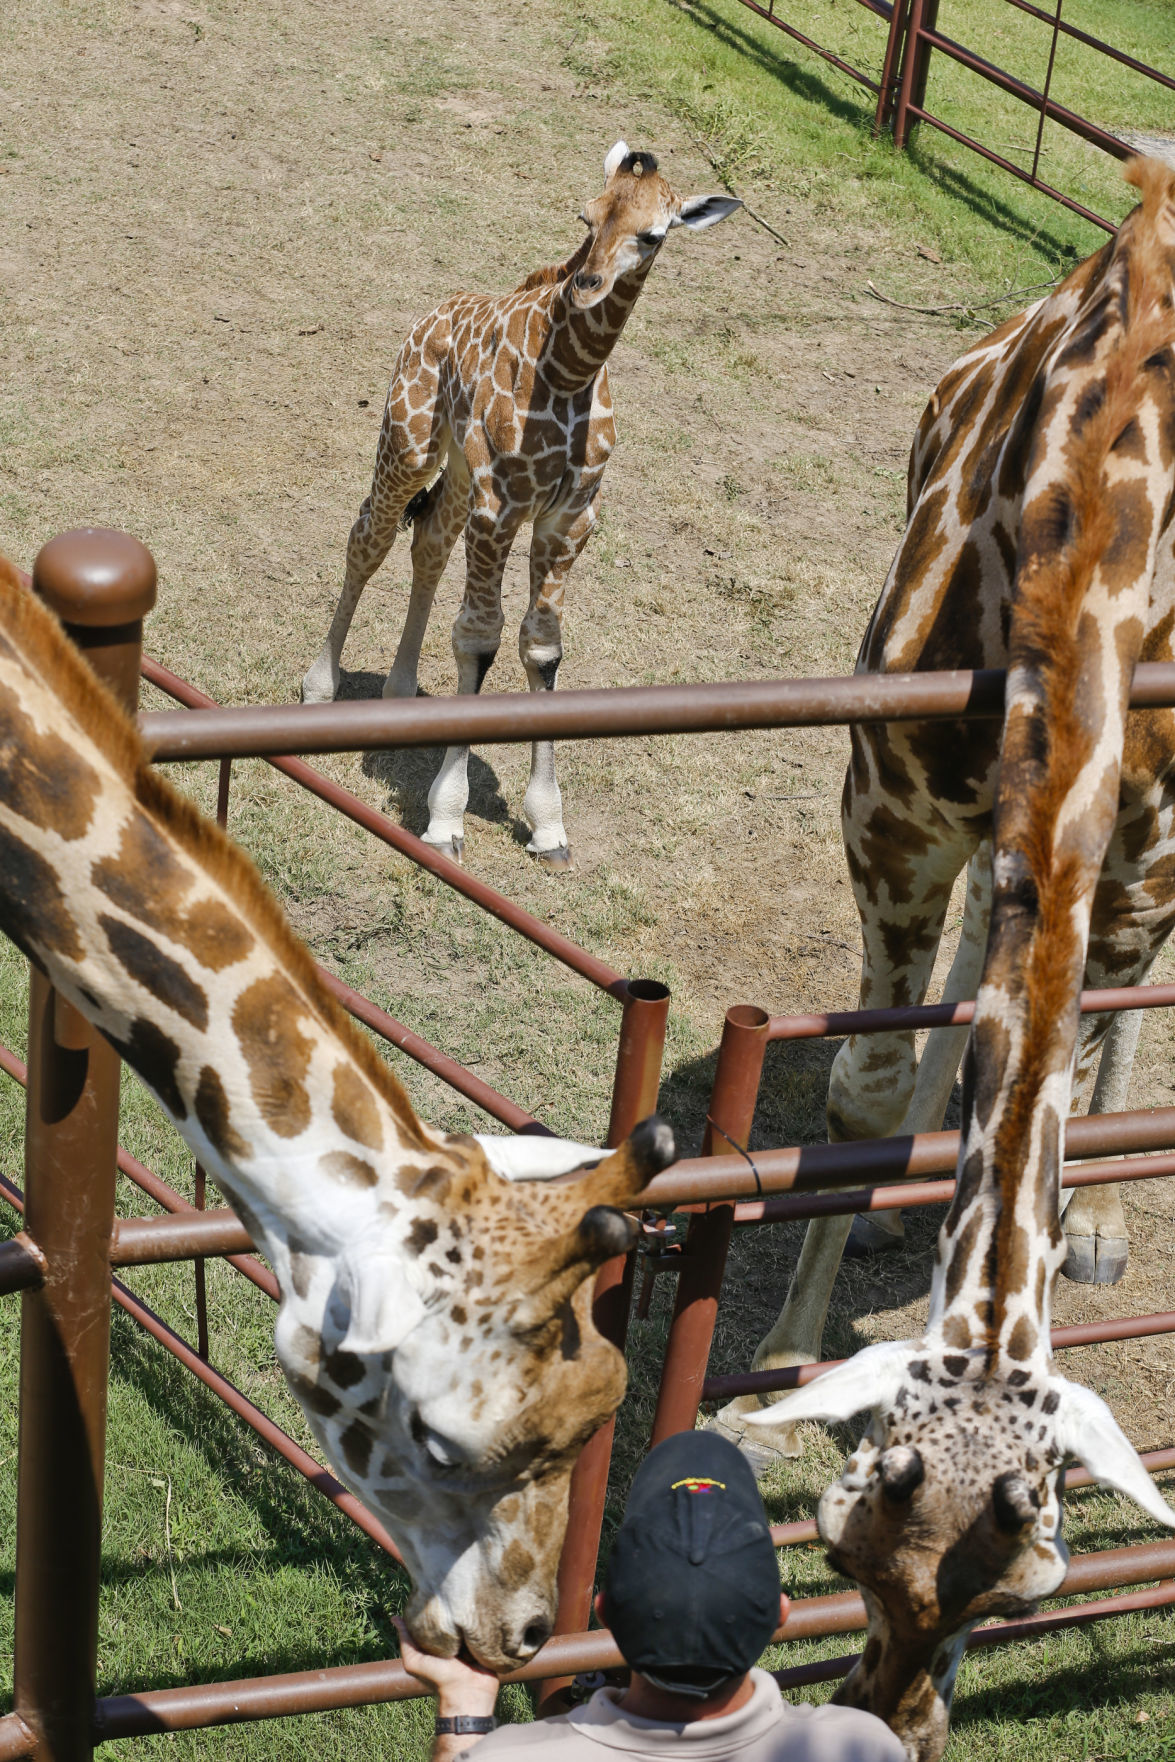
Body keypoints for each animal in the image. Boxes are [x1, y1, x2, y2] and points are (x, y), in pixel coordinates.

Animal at [300, 141, 740, 869]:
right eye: (587, 216)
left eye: (653, 235)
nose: (588, 284)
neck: (569, 372)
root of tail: (432, 314)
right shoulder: (501, 506)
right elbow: (478, 639)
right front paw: (445, 821)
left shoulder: (568, 519)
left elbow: (541, 649)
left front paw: (549, 826)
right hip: (409, 444)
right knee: (369, 537)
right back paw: (319, 687)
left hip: (454, 475)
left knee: (427, 545)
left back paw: (399, 694)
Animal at [721, 161, 1175, 1760]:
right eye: (843, 1539)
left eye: (1037, 1578)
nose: (897, 1717)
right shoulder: (892, 800)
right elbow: (860, 1096)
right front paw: (784, 1362)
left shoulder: (1138, 854)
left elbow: (1067, 1058)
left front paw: (1083, 1214)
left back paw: (1103, 1214)